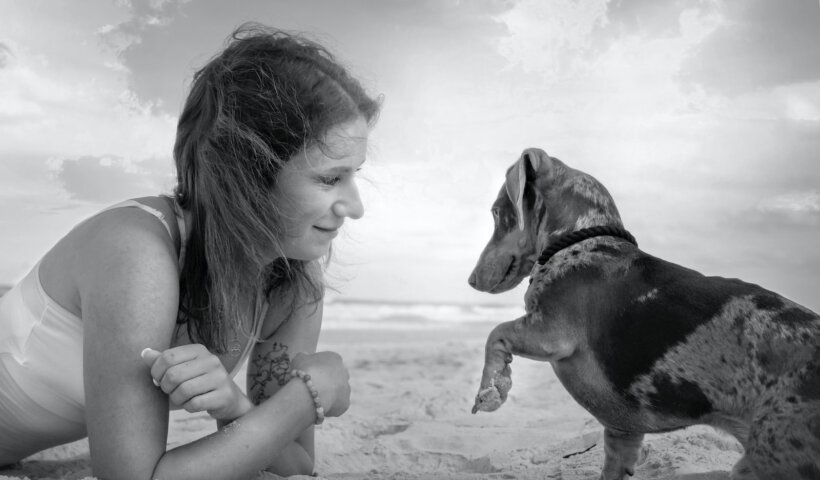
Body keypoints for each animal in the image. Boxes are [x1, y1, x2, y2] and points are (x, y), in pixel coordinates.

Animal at [468, 148, 820, 478]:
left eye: (498, 213)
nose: (471, 280)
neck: (580, 242)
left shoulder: (550, 333)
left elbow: (495, 333)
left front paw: (491, 390)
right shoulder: (622, 431)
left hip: (765, 460)